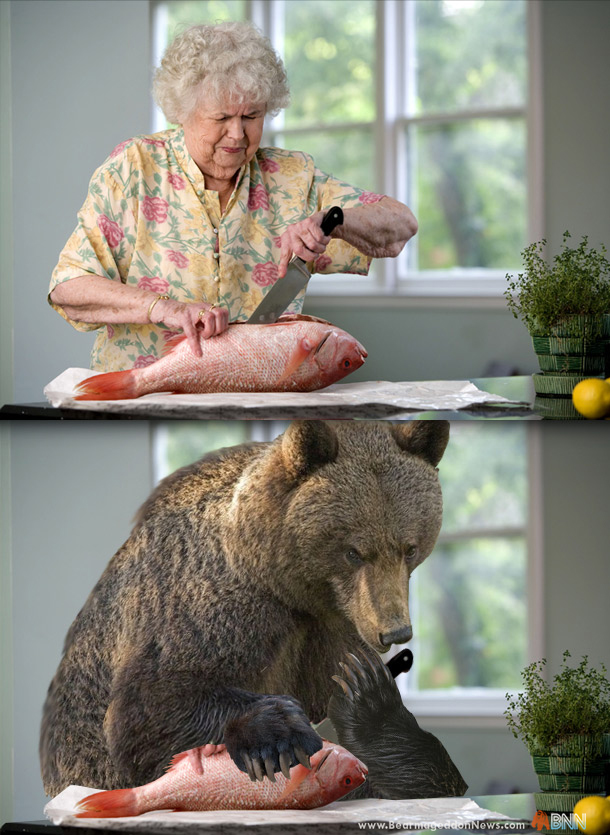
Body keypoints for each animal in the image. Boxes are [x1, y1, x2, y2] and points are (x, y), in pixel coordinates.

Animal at [39, 422, 466, 800]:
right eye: (353, 551)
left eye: (409, 548)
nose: (395, 632)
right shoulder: (210, 607)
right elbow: (147, 709)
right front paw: (281, 731)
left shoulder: (330, 628)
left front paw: (368, 699)